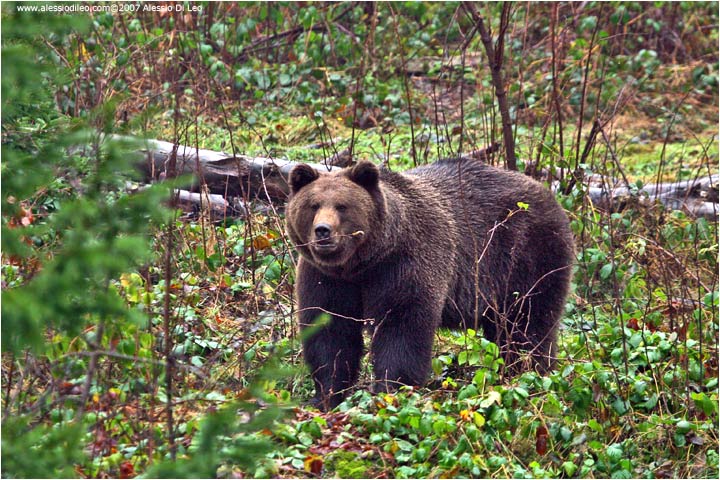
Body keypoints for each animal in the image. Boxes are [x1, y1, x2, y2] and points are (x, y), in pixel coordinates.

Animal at [286, 158, 572, 408]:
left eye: (342, 206)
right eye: (313, 205)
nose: (323, 231)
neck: (361, 264)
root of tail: (548, 194)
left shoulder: (404, 263)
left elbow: (401, 326)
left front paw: (390, 388)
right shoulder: (326, 277)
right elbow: (330, 331)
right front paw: (326, 395)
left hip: (525, 256)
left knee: (527, 322)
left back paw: (528, 371)